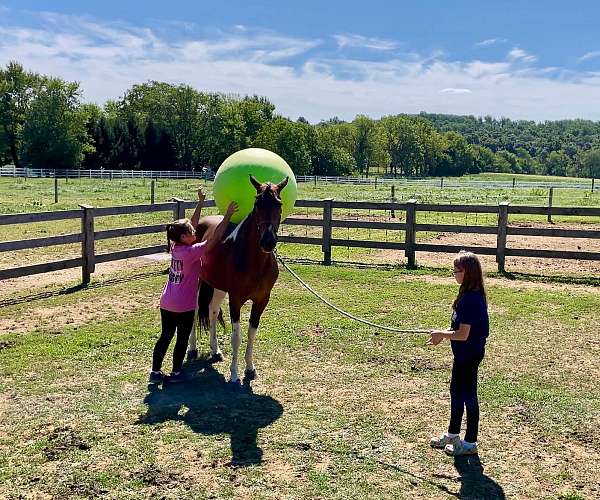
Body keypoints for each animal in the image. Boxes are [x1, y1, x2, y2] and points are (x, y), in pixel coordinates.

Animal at [189, 174, 290, 384]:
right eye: (257, 203)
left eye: (279, 204)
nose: (268, 242)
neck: (254, 261)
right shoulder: (235, 300)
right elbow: (237, 336)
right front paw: (234, 374)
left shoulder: (261, 300)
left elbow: (251, 333)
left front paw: (250, 369)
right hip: (197, 283)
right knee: (194, 312)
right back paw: (192, 349)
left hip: (218, 287)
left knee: (212, 310)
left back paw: (216, 351)